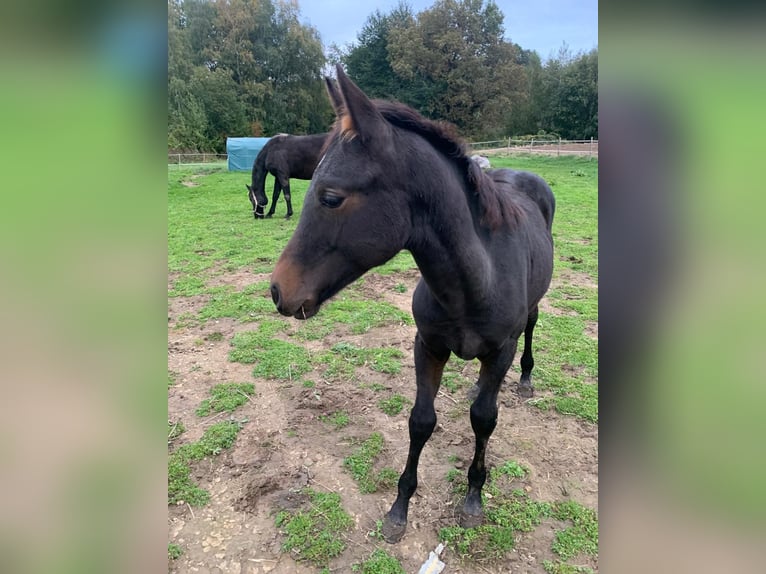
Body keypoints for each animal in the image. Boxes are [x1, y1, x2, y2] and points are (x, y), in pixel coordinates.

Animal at [268, 66, 556, 544]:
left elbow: (484, 419)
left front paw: (473, 497)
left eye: (330, 197)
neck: (475, 281)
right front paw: (399, 508)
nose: (278, 290)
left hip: (528, 317)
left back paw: (526, 379)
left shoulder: (501, 350)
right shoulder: (429, 346)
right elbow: (421, 420)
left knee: (531, 328)